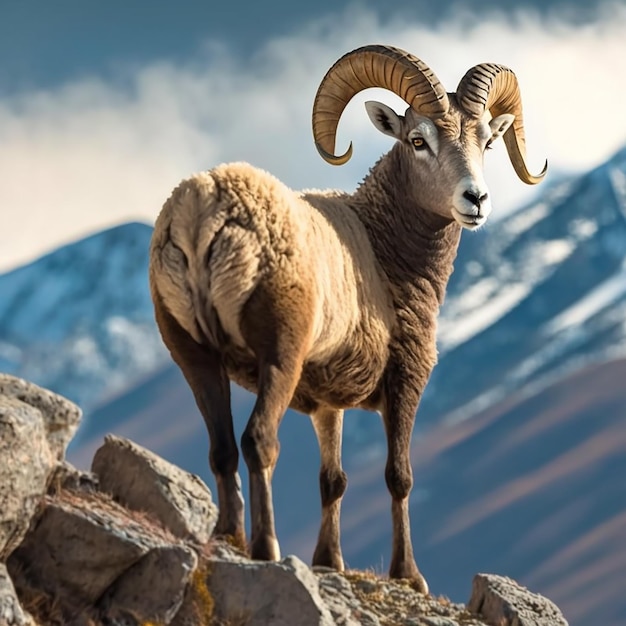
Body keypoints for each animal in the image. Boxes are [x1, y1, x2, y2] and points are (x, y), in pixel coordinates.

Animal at [149, 44, 544, 588]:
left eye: (487, 139)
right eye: (418, 140)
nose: (476, 200)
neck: (382, 250)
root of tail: (203, 211)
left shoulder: (326, 404)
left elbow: (332, 481)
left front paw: (328, 561)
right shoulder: (405, 381)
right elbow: (399, 477)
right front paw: (408, 576)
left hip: (195, 355)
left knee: (222, 447)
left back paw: (228, 538)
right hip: (279, 356)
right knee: (258, 441)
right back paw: (265, 549)